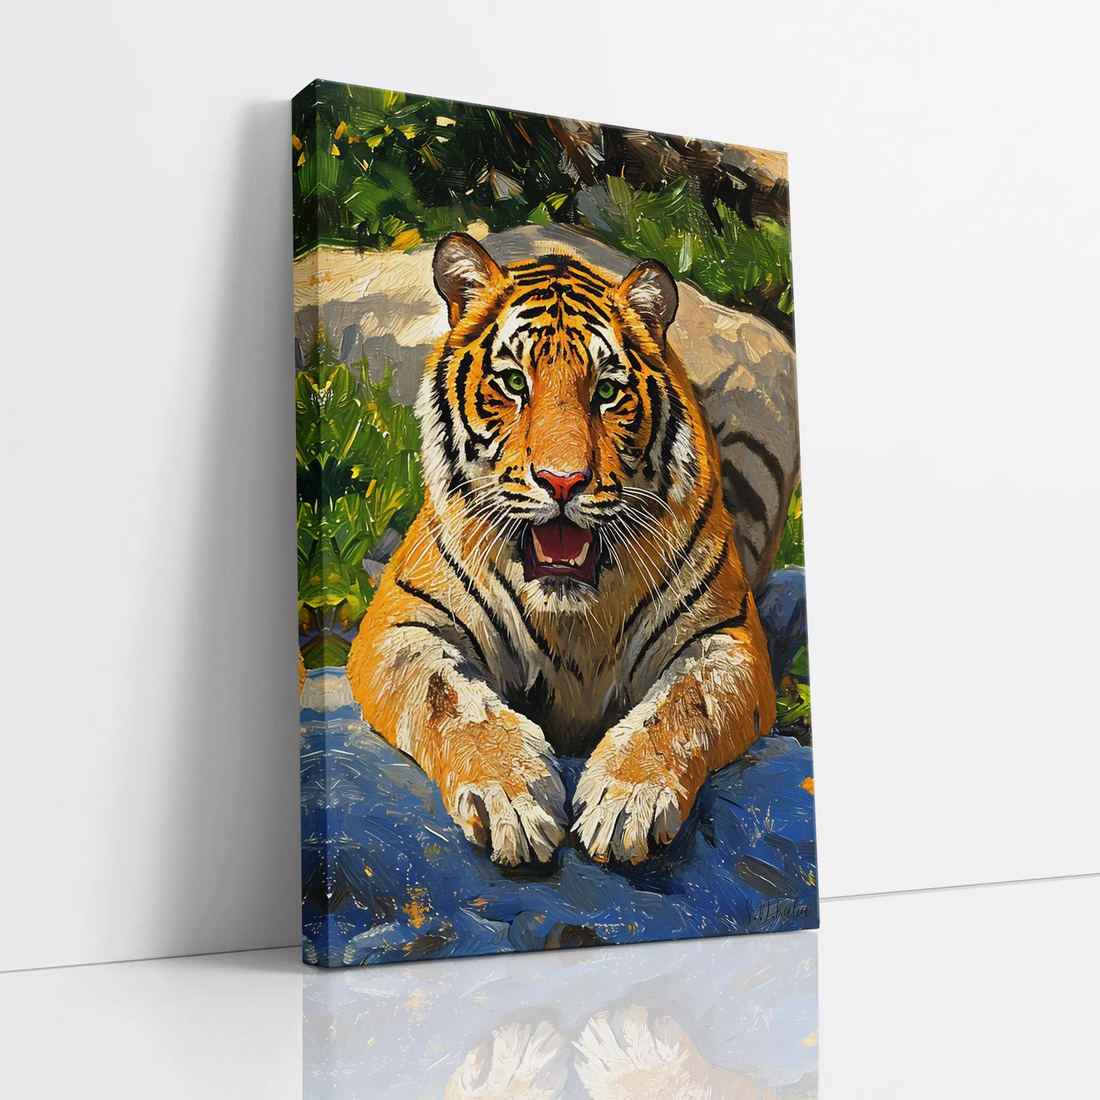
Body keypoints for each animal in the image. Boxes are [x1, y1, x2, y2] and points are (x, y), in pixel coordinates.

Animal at [345, 232, 776, 867]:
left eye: (607, 392)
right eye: (513, 383)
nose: (563, 481)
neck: (574, 618)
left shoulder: (725, 637)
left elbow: (680, 705)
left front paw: (627, 800)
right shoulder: (401, 625)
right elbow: (452, 700)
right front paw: (512, 798)